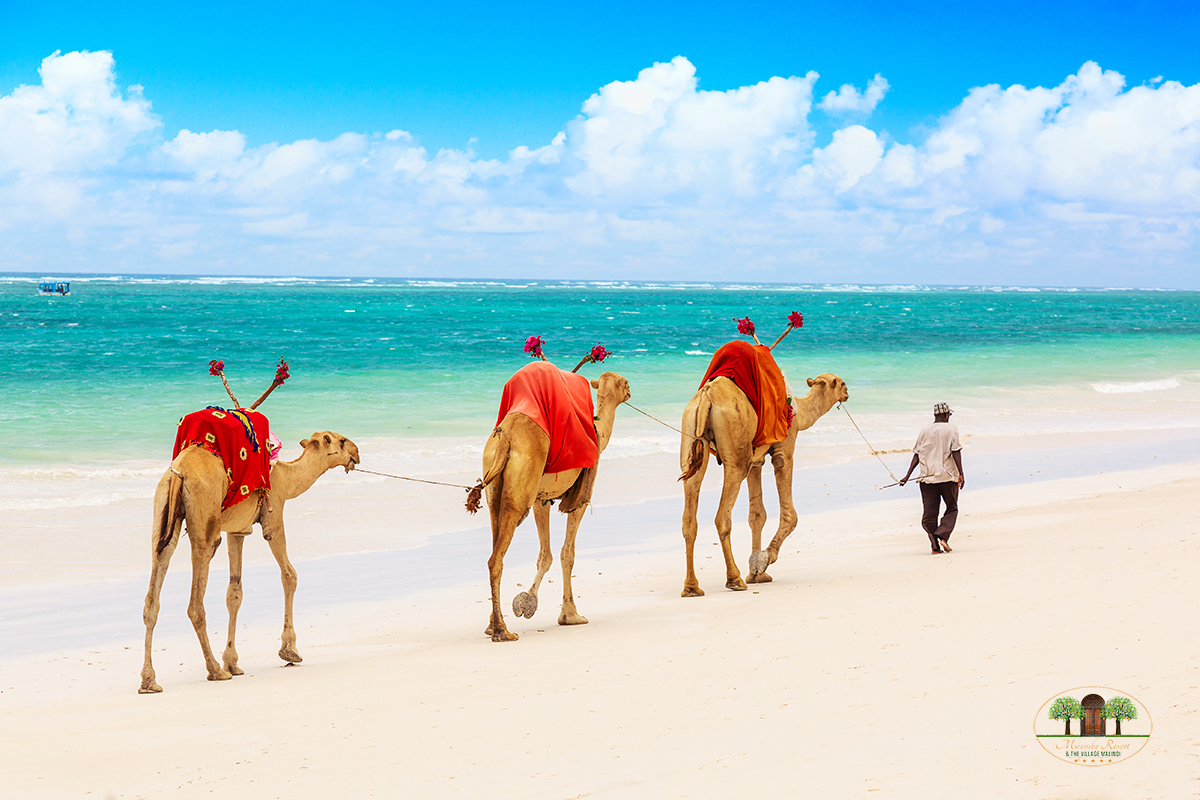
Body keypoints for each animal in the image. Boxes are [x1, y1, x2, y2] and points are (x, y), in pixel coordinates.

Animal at [139, 362, 355, 695]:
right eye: (341, 441)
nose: (357, 452)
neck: (286, 475)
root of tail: (179, 471)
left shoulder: (236, 531)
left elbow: (234, 592)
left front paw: (234, 662)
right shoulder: (273, 514)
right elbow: (289, 574)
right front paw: (289, 651)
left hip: (163, 514)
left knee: (154, 591)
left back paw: (149, 680)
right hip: (204, 521)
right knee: (195, 602)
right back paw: (214, 670)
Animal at [472, 345, 633, 642]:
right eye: (623, 382)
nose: (630, 390)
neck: (598, 430)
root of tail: (506, 437)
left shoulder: (541, 499)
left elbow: (545, 553)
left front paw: (527, 603)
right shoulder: (578, 499)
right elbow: (566, 553)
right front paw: (569, 615)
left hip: (494, 489)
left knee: (494, 550)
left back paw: (492, 625)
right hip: (519, 493)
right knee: (496, 558)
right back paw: (502, 631)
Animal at [681, 316, 849, 597]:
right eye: (841, 382)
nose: (848, 393)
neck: (799, 410)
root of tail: (706, 397)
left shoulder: (756, 460)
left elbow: (756, 515)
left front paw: (757, 573)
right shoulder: (784, 447)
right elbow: (790, 514)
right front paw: (763, 560)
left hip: (691, 435)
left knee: (689, 517)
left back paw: (692, 587)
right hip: (734, 453)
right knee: (722, 516)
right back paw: (734, 579)